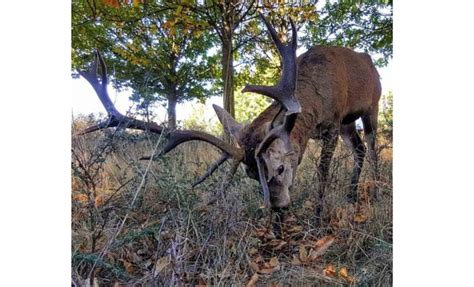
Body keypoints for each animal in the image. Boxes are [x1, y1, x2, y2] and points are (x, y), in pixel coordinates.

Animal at [78, 12, 382, 235]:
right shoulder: (326, 128)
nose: (279, 208)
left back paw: (376, 190)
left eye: (280, 168)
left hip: (371, 106)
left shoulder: (332, 122)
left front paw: (317, 219)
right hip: (348, 124)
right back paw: (352, 195)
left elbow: (322, 172)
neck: (314, 100)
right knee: (359, 149)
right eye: (252, 175)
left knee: (372, 147)